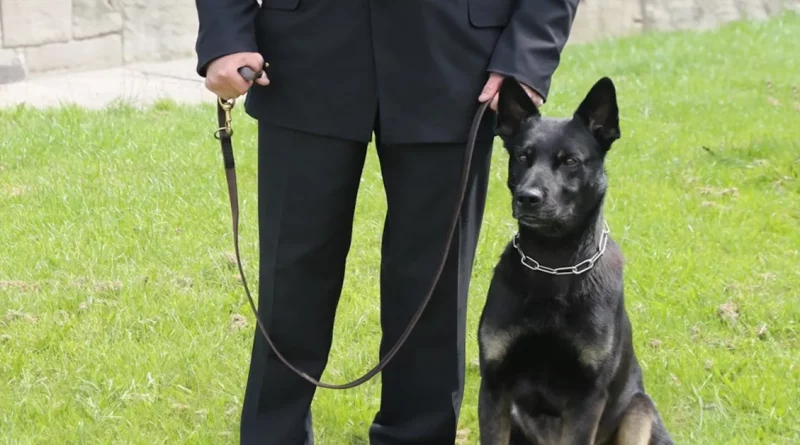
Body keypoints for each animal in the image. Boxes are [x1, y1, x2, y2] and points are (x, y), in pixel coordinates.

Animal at [476, 77, 676, 444]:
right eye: (522, 157)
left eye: (570, 161)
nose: (527, 198)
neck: (553, 263)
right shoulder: (494, 386)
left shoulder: (588, 397)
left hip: (638, 410)